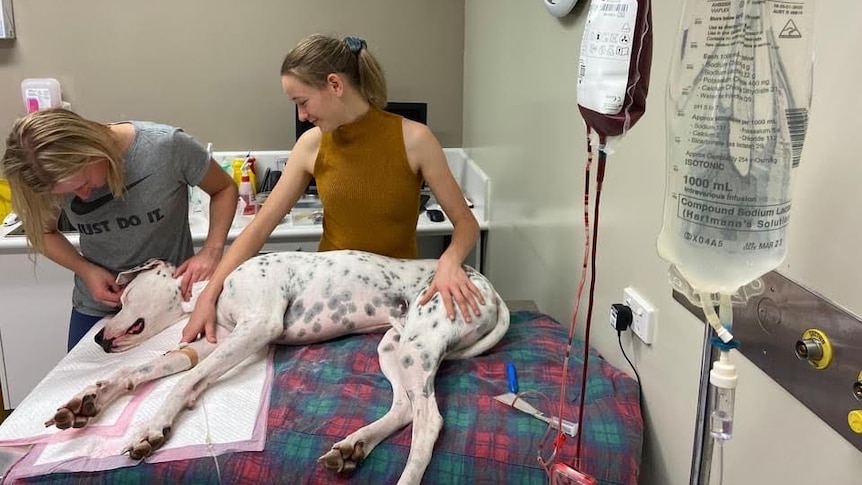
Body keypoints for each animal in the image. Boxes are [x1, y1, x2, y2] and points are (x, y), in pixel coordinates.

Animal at [44, 250, 510, 484]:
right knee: (405, 409)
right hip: (393, 349)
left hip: (418, 346)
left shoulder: (258, 327)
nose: (98, 339)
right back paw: (353, 447)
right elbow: (140, 373)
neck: (213, 284)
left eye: (123, 298)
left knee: (429, 421)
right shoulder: (217, 341)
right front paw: (88, 399)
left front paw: (151, 428)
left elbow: (185, 381)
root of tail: (490, 287)